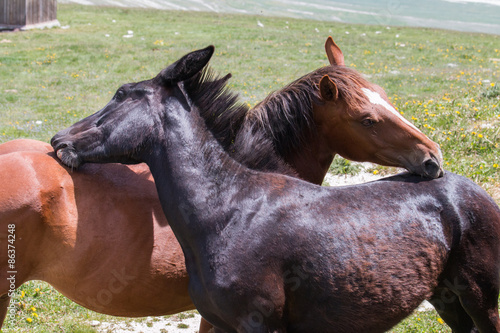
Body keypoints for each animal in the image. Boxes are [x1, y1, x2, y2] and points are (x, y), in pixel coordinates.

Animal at [52, 44, 500, 332]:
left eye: (120, 94)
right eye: (368, 118)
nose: (60, 140)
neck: (231, 211)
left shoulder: (257, 325)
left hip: (480, 301)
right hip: (446, 298)